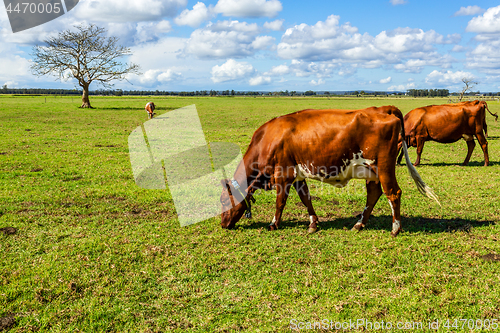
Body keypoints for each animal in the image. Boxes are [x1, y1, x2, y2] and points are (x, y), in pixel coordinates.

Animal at [219, 106, 438, 236]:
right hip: (371, 171)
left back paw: (395, 228)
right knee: (374, 193)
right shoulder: (298, 174)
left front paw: (273, 223)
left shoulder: (283, 174)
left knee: (393, 193)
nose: (222, 224)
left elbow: (280, 202)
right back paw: (359, 224)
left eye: (223, 201)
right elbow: (306, 199)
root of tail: (382, 109)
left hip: (383, 167)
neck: (268, 139)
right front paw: (313, 224)